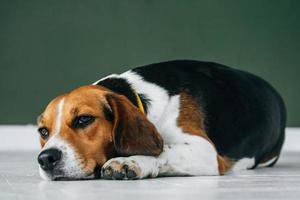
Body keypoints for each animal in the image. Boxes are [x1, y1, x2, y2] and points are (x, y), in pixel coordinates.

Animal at [37, 60, 286, 180]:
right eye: (43, 132)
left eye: (83, 120)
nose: (45, 159)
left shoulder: (205, 151)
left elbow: (163, 150)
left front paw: (130, 161)